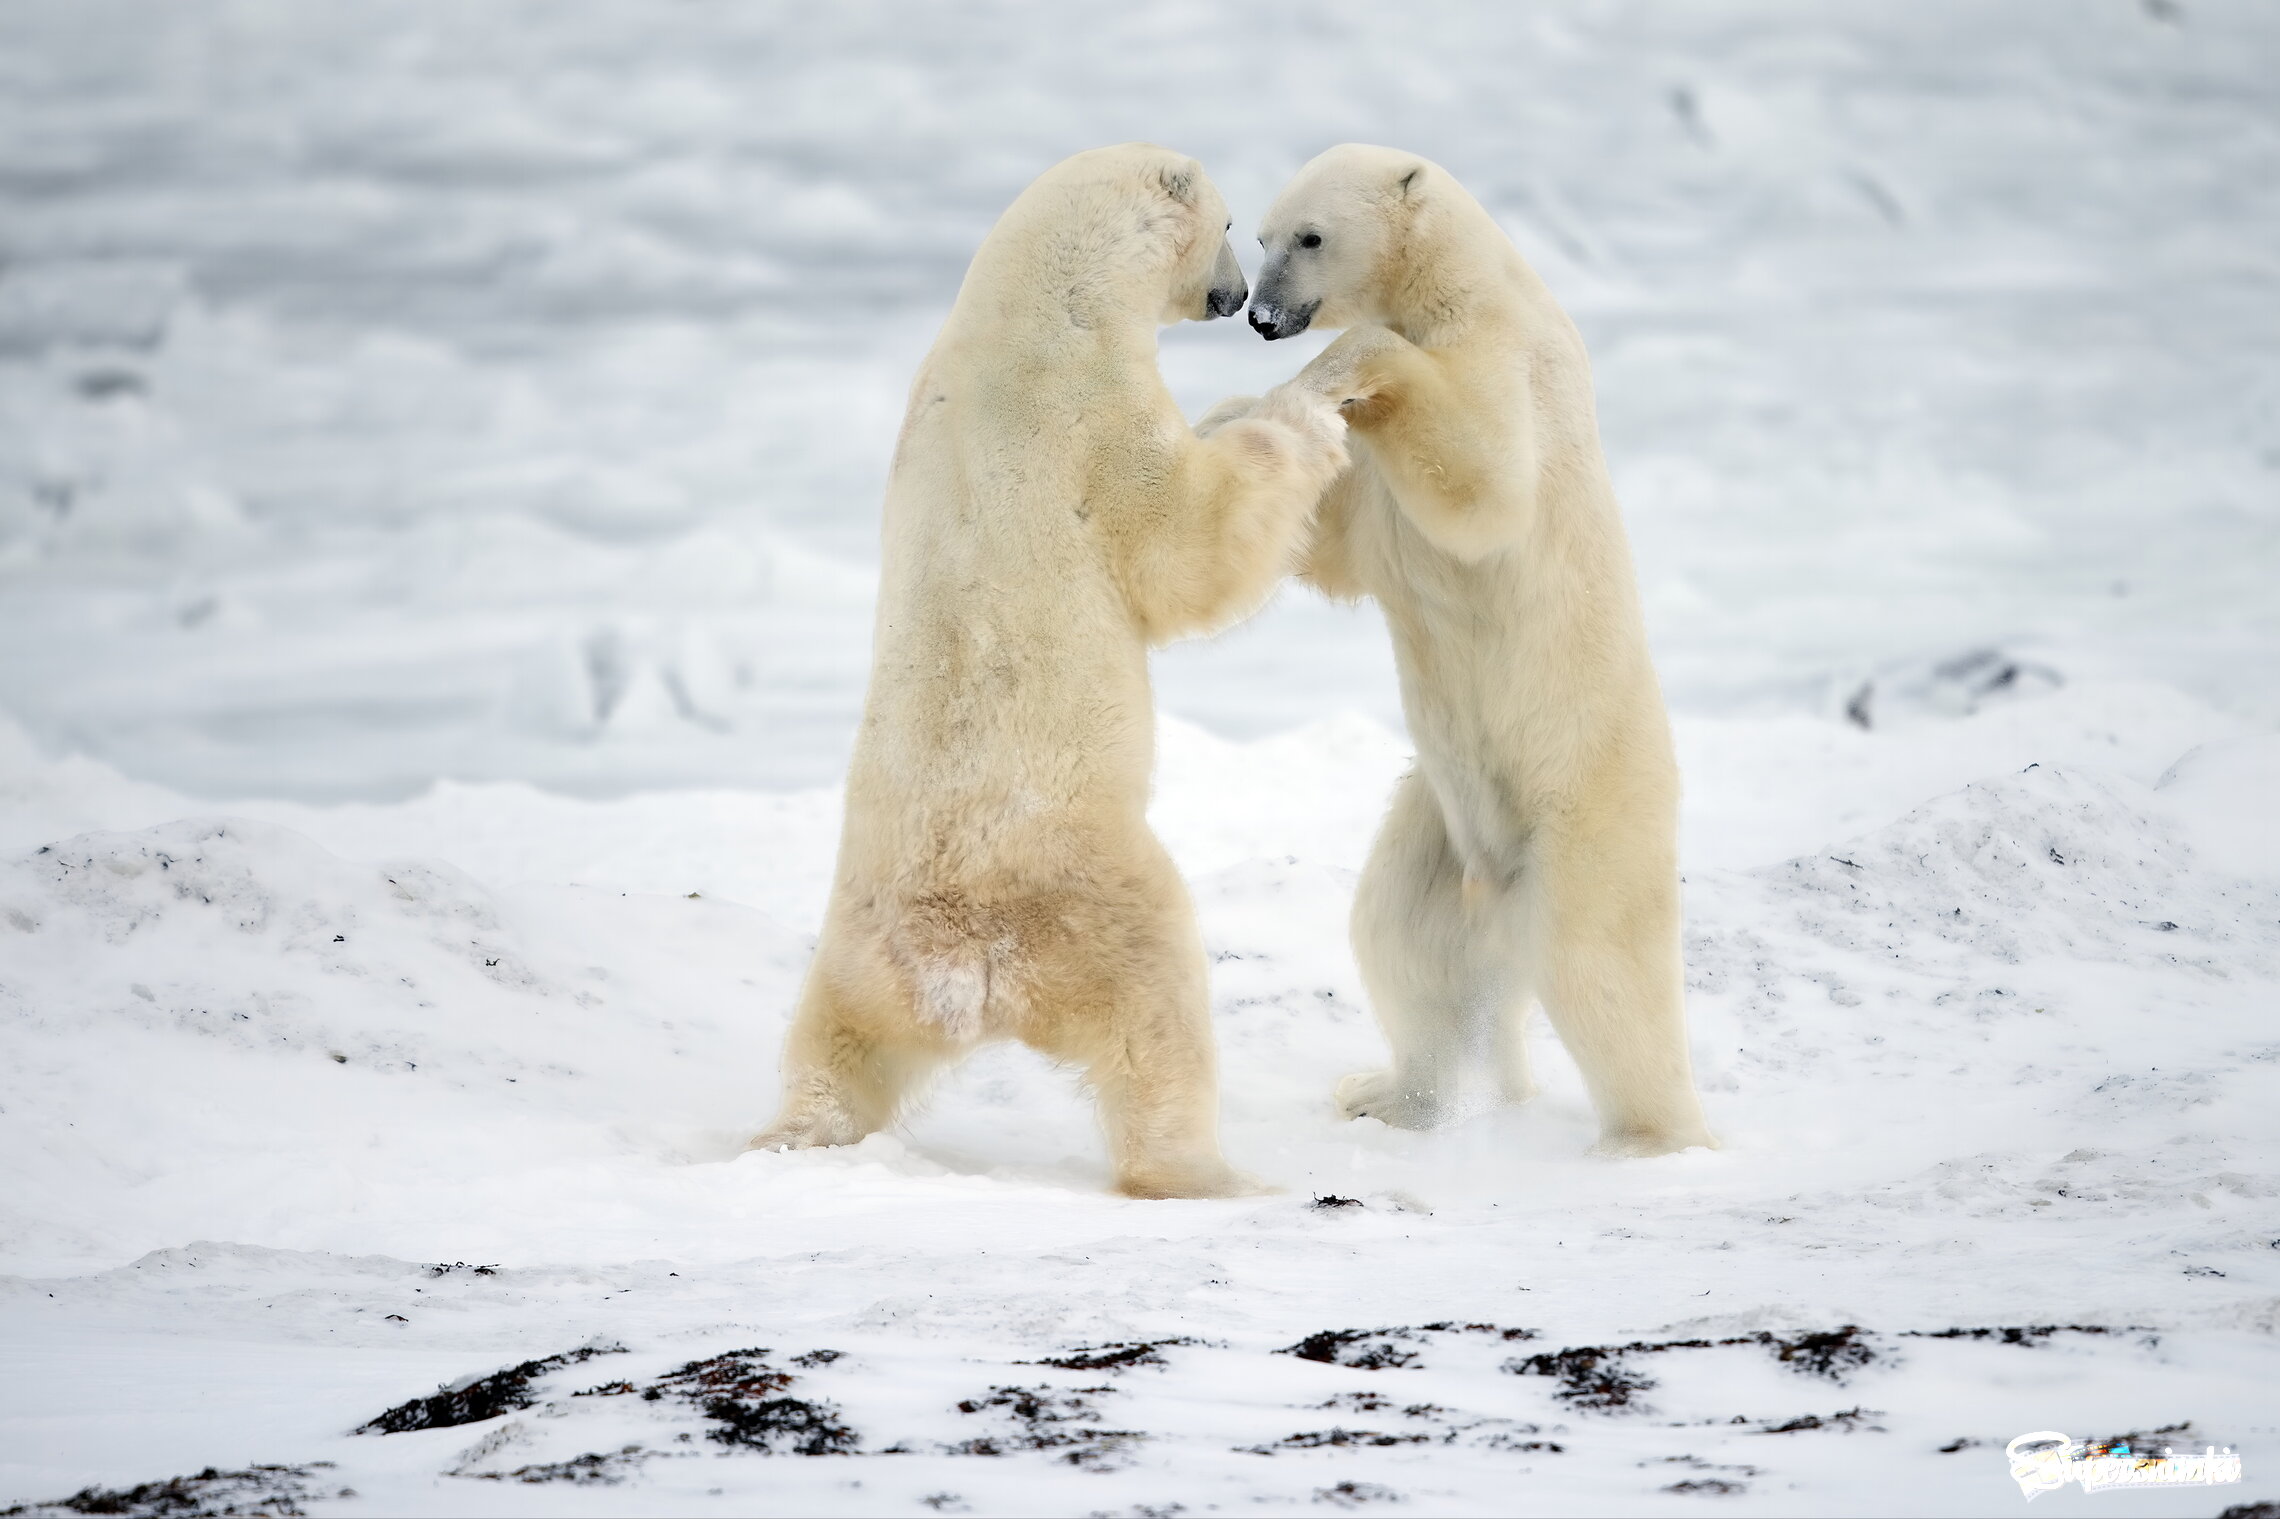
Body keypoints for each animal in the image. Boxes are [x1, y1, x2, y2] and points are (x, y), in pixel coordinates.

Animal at [747, 141, 1349, 1195]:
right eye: (1232, 227)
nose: (1236, 299)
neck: (1027, 311)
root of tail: (961, 973)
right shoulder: (1095, 416)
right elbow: (1188, 548)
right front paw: (1306, 405)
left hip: (857, 948)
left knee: (837, 1047)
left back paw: (789, 1132)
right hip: (1092, 896)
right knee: (1160, 1012)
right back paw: (1207, 1170)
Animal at [1240, 148, 1714, 1154]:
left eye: (1310, 236)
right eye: (1258, 236)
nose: (1261, 317)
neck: (1464, 284)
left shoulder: (1509, 363)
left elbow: (1482, 480)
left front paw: (1327, 376)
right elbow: (1343, 541)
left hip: (1582, 810)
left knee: (1599, 965)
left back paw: (1651, 1138)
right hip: (1443, 822)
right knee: (1405, 938)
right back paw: (1391, 1094)